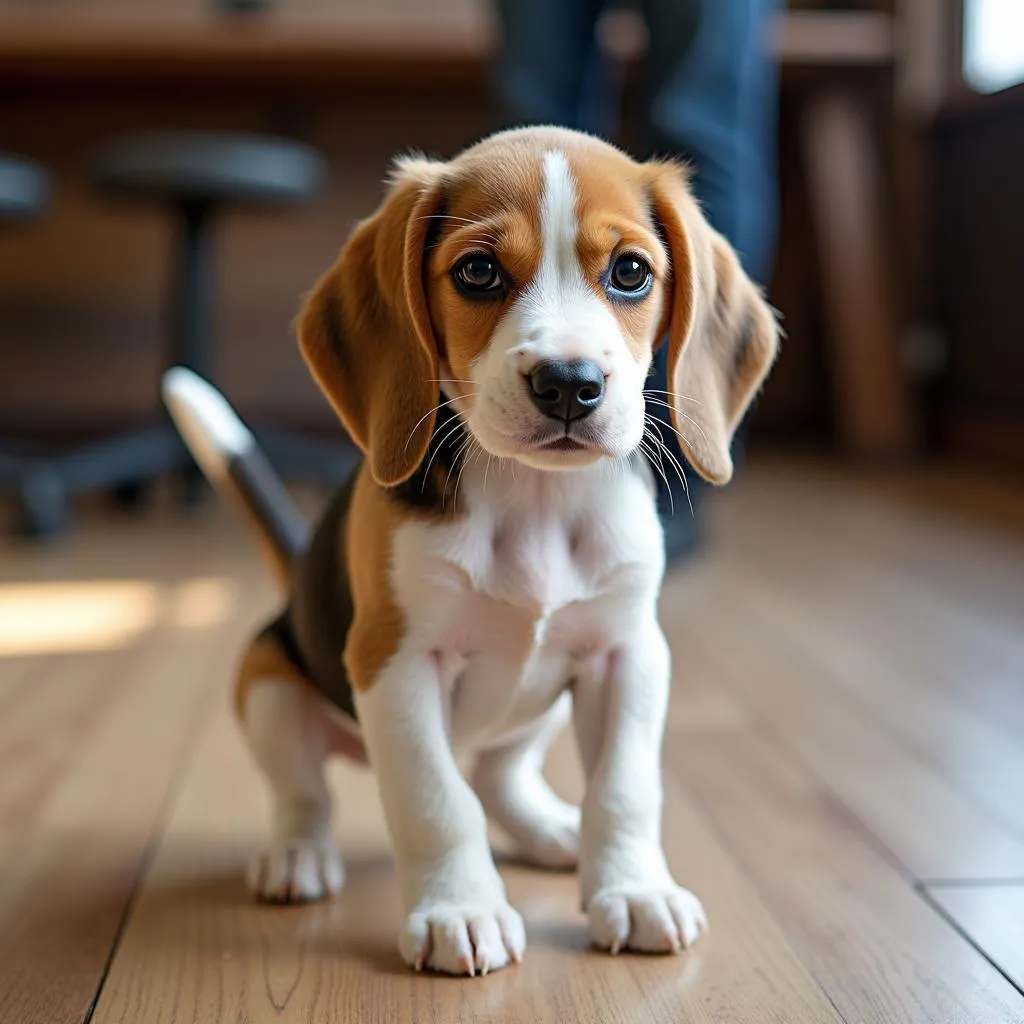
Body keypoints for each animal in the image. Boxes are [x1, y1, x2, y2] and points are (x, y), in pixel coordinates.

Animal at [163, 125, 778, 974]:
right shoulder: (393, 664)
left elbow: (623, 788)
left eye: (630, 273)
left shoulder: (627, 653)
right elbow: (435, 802)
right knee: (306, 793)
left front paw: (633, 891)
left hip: (543, 702)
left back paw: (551, 829)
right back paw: (296, 857)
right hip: (268, 685)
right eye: (478, 271)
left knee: (498, 772)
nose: (568, 383)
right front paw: (460, 909)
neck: (536, 500)